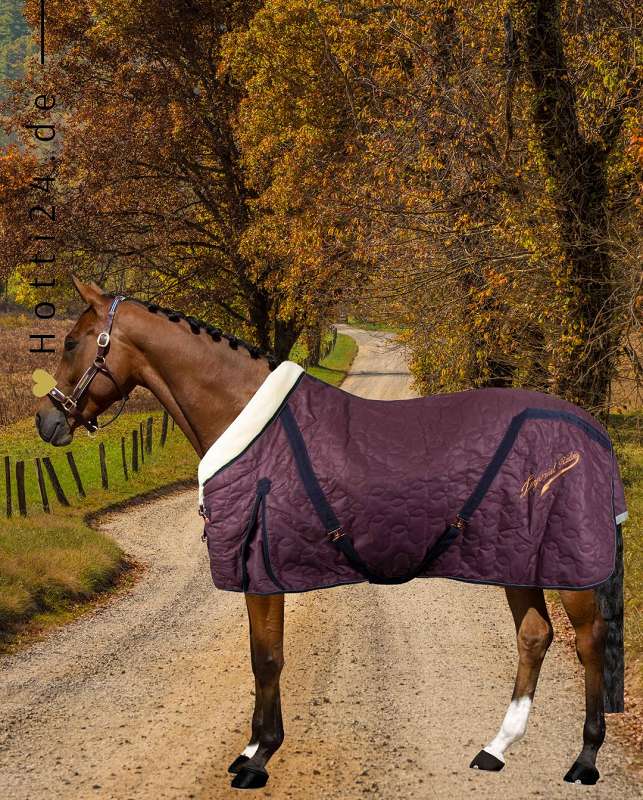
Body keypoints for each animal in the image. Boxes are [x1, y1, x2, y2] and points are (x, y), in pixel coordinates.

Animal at [35, 276, 626, 790]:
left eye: (71, 341)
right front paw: (250, 751)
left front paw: (259, 759)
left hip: (567, 566)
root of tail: (591, 431)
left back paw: (585, 759)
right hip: (513, 559)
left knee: (589, 641)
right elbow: (261, 655)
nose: (47, 422)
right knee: (535, 636)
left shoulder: (263, 571)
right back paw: (495, 749)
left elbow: (267, 659)